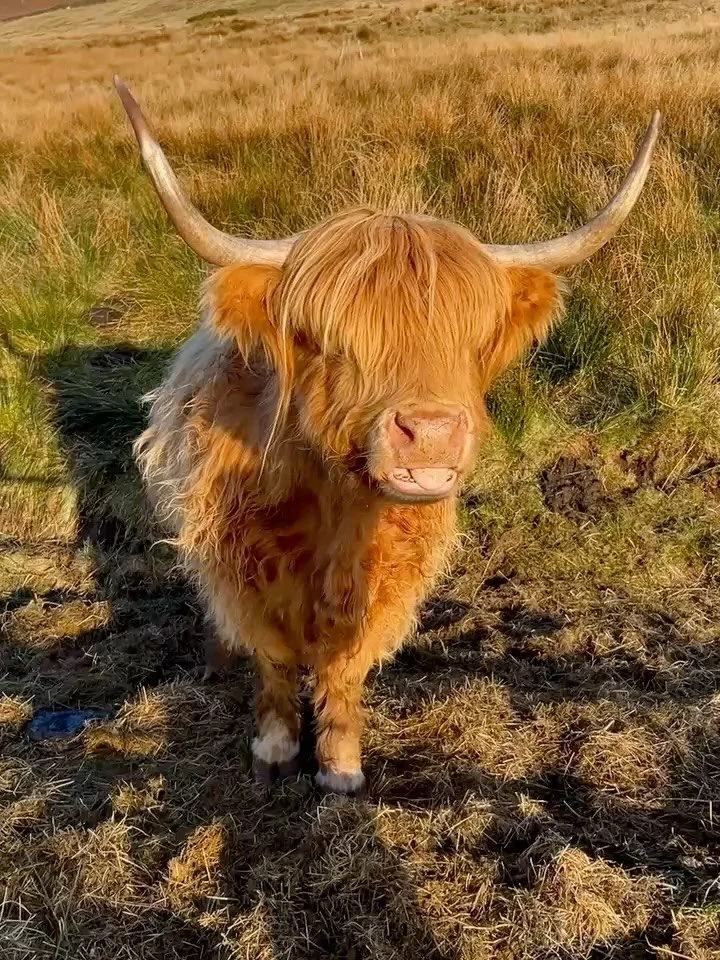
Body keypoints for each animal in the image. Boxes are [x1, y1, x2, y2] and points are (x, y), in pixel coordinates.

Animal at [115, 77, 660, 795]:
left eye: (471, 341)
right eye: (327, 340)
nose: (429, 434)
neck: (330, 507)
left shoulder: (390, 572)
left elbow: (345, 662)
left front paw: (341, 764)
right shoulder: (241, 562)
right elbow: (274, 657)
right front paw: (274, 747)